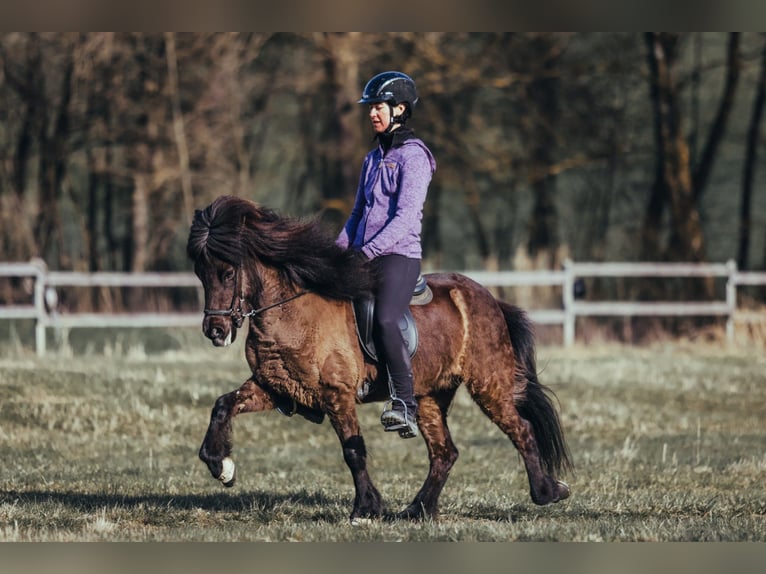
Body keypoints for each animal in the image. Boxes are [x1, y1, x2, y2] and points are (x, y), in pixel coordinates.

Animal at [187, 195, 572, 522]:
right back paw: (417, 510)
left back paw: (548, 492)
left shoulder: (337, 394)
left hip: (488, 382)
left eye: (227, 273)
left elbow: (353, 450)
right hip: (429, 395)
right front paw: (221, 467)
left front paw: (365, 508)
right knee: (445, 453)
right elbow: (223, 405)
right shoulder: (277, 387)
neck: (292, 312)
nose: (215, 331)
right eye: (201, 274)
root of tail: (489, 298)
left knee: (520, 429)